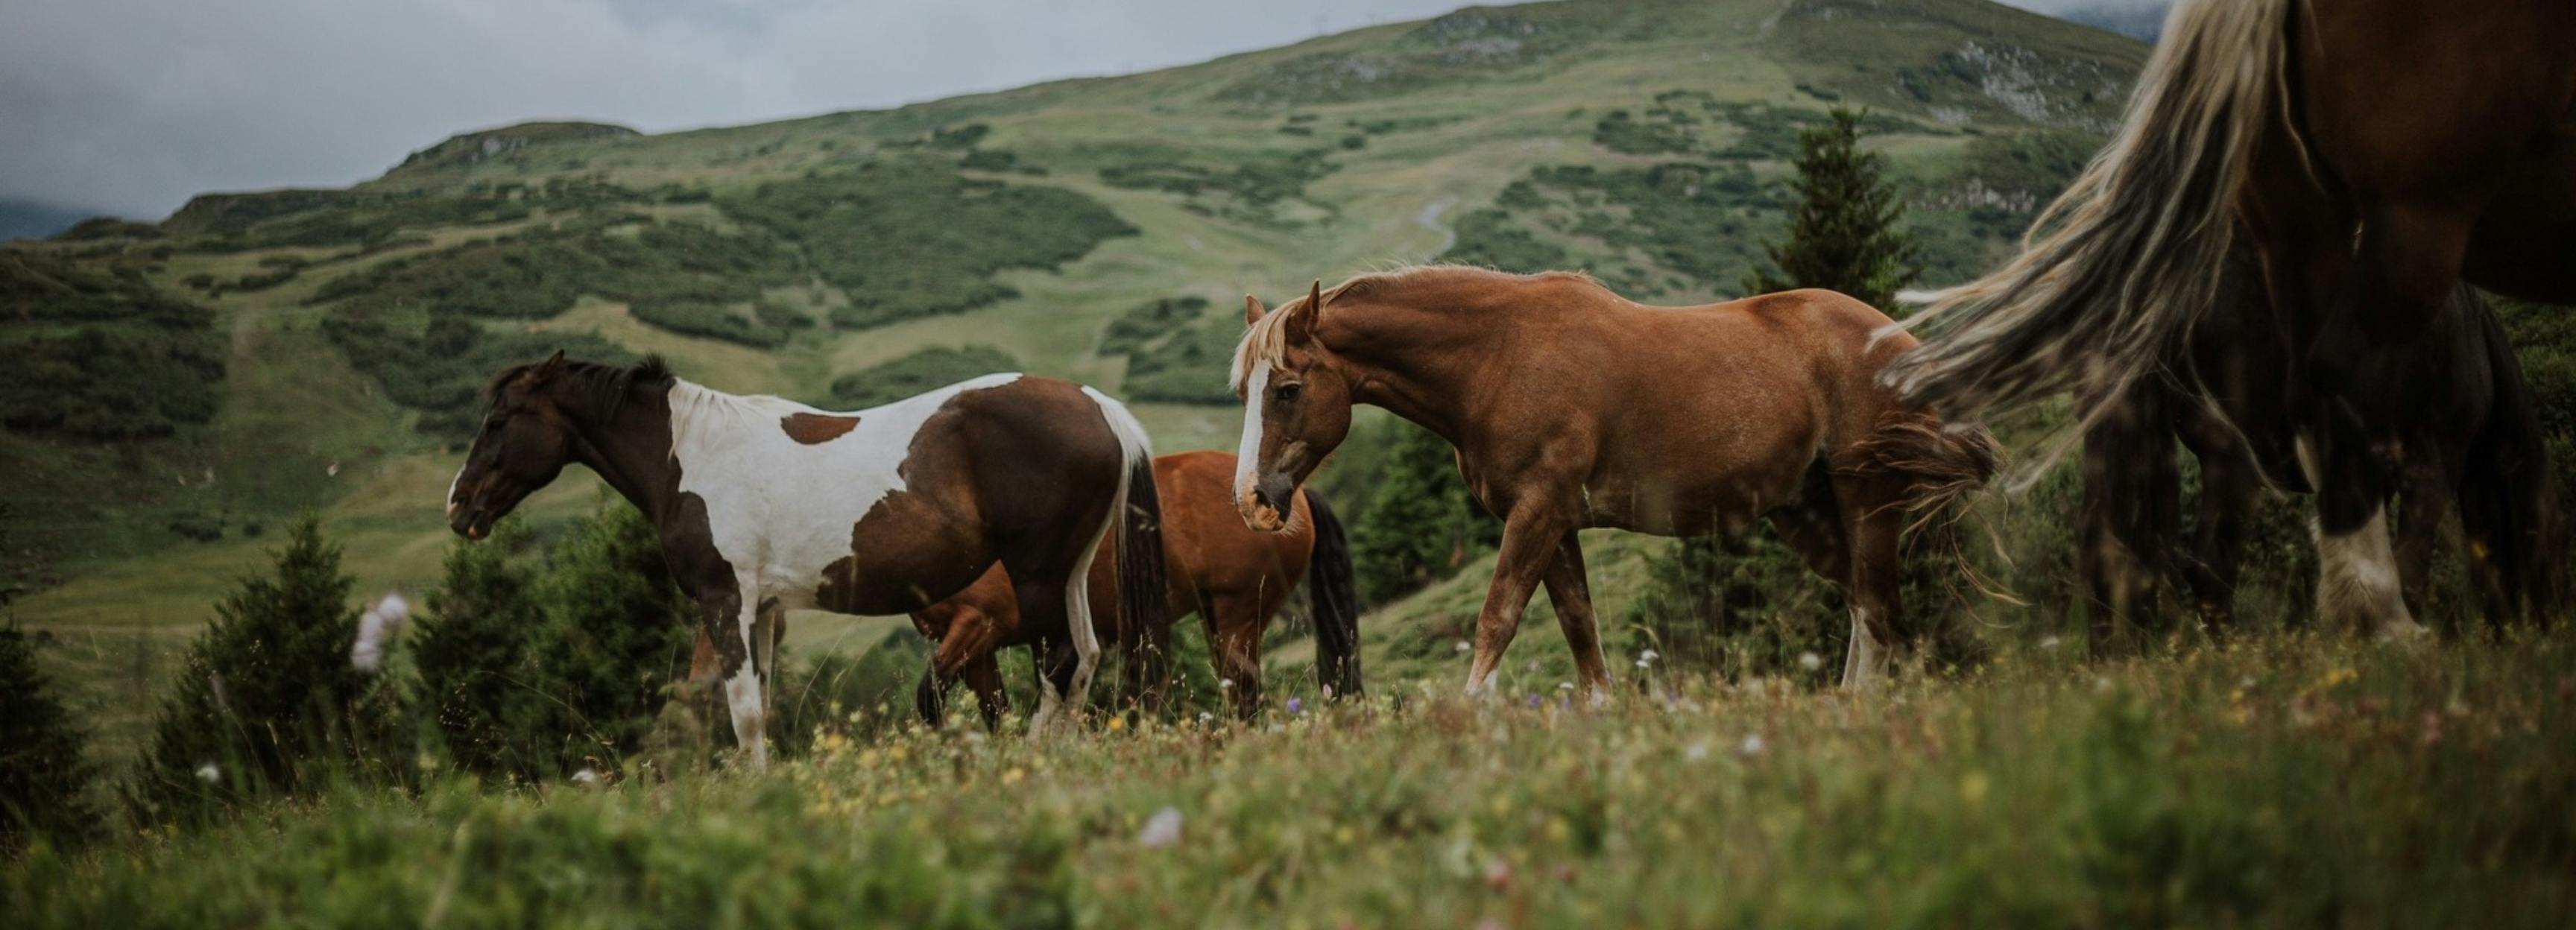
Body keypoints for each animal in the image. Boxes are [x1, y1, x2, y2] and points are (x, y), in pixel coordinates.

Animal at [445, 352, 1167, 767]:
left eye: (501, 420)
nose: (460, 506)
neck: (693, 455)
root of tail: (1098, 406)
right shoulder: (763, 610)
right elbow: (760, 709)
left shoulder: (725, 602)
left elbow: (741, 711)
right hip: (1068, 573)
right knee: (1084, 661)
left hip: (1037, 573)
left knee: (1060, 664)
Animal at [906, 450, 1361, 727]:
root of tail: (1296, 496)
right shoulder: (979, 653)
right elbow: (995, 714)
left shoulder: (979, 626)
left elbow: (929, 695)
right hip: (1217, 618)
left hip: (1241, 616)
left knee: (1245, 696)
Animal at [1226, 266, 1997, 696]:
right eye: (1244, 391)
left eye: (1288, 390)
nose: (1253, 501)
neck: (1497, 357)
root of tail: (1901, 339)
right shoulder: (1554, 521)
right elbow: (1582, 634)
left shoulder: (1537, 514)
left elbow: (1497, 621)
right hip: (1804, 510)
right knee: (1866, 609)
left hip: (1871, 498)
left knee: (1882, 611)